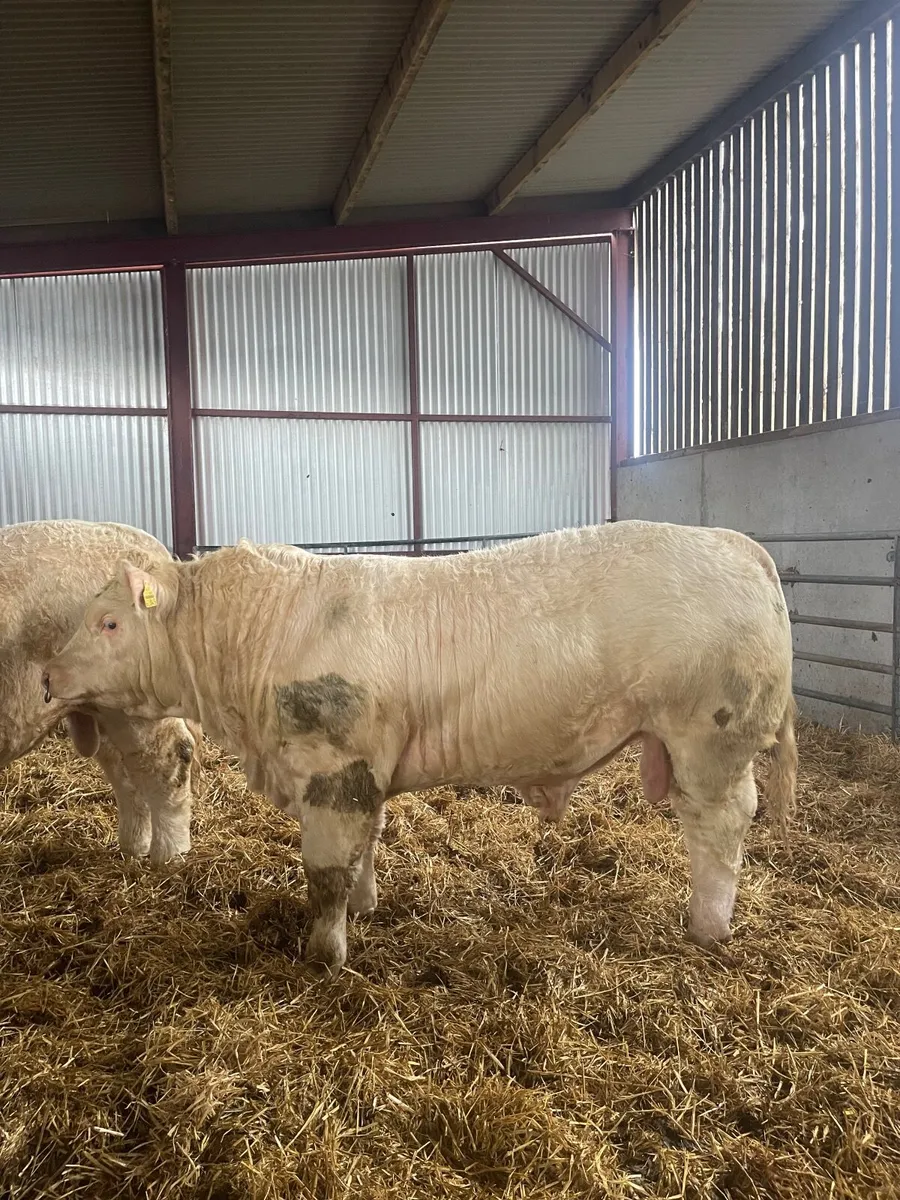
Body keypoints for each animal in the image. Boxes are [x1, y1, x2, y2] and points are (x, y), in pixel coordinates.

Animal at [1, 519, 202, 864]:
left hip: (134, 699)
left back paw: (168, 857)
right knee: (124, 767)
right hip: (102, 705)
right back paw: (132, 850)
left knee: (169, 754)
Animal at [43, 520, 797, 975]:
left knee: (720, 828)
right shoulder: (365, 770)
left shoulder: (335, 766)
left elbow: (325, 870)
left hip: (711, 739)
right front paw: (366, 907)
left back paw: (706, 928)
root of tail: (738, 545)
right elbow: (366, 845)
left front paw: (324, 953)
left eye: (109, 622)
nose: (47, 675)